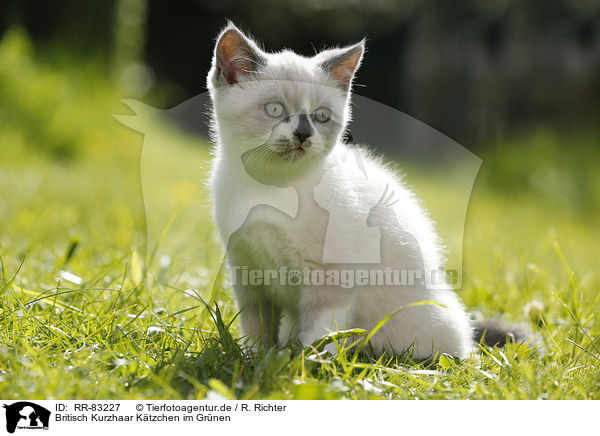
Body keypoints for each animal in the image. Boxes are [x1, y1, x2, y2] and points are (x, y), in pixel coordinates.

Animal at [207, 22, 516, 360]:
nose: (303, 134)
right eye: (275, 109)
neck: (270, 185)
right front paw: (251, 361)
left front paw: (306, 366)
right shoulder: (248, 272)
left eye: (321, 116)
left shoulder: (329, 276)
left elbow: (319, 336)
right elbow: (256, 329)